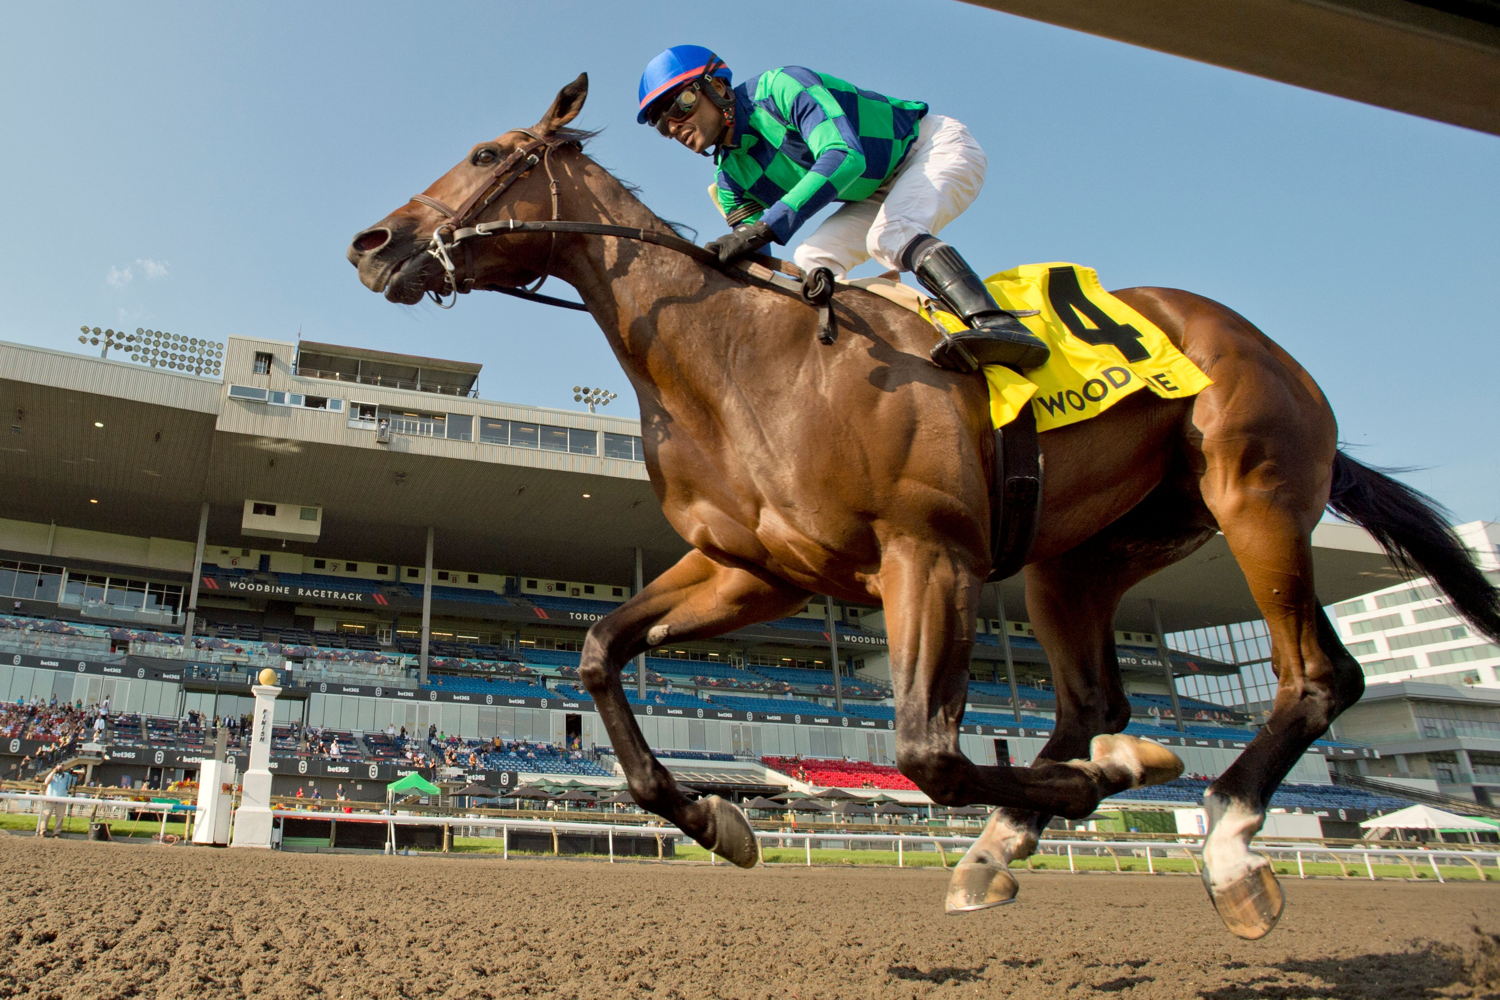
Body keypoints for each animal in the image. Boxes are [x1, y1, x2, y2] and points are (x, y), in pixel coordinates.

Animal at [348, 76, 1500, 941]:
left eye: (489, 152)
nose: (372, 242)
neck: (742, 360)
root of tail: (1265, 347)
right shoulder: (755, 570)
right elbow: (597, 650)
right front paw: (715, 817)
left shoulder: (925, 553)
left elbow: (926, 752)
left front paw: (1121, 781)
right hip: (1082, 553)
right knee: (1093, 700)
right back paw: (1010, 842)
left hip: (1253, 489)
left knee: (1318, 675)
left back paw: (1221, 844)